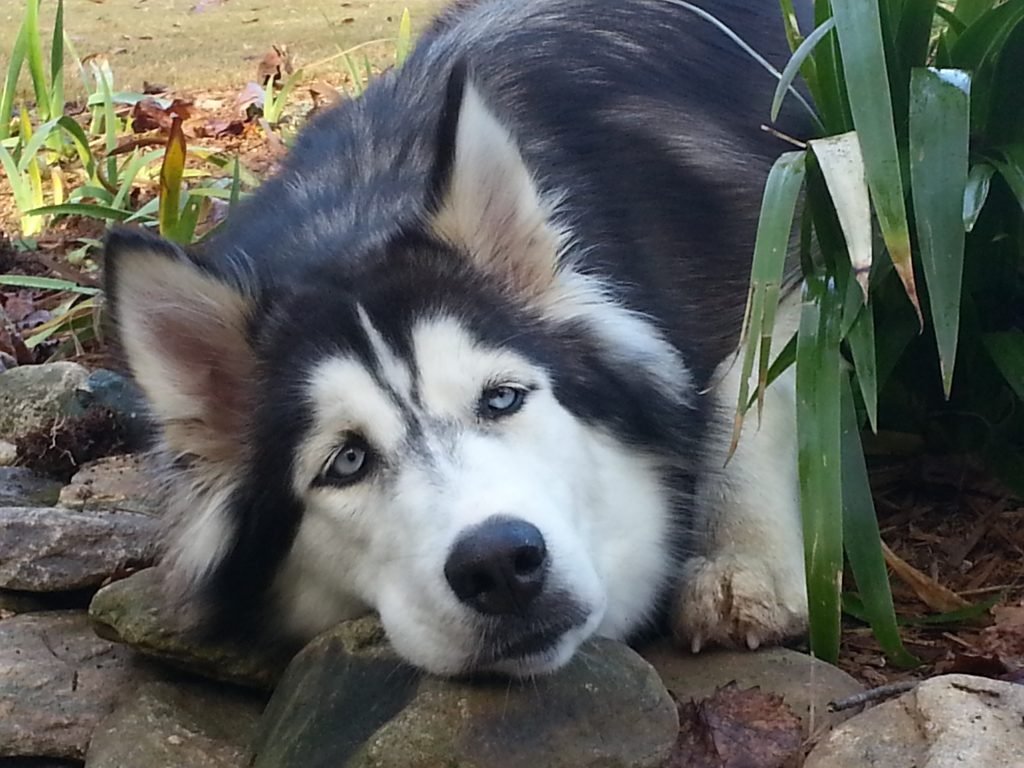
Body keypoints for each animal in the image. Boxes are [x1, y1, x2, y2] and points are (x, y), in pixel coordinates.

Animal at [105, 0, 806, 675]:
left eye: (502, 399)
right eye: (346, 462)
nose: (497, 563)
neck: (360, 208)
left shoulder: (788, 224)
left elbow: (747, 388)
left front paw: (744, 563)